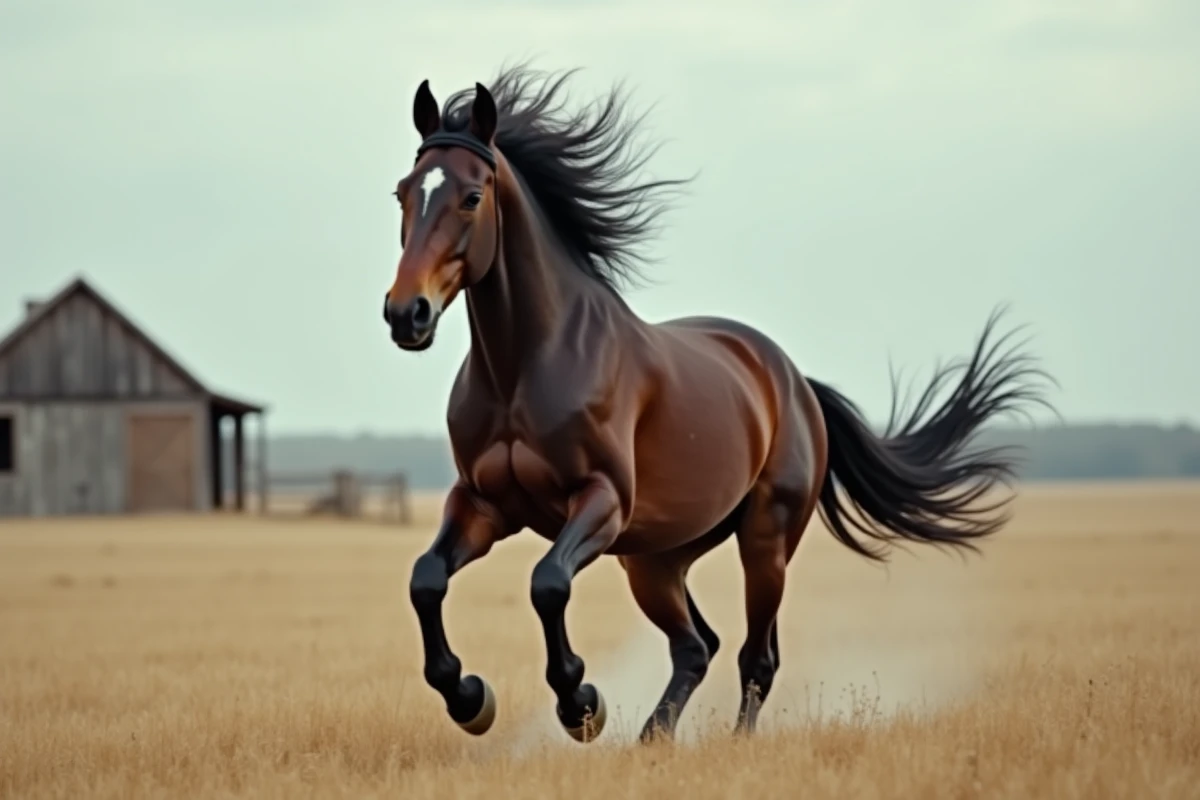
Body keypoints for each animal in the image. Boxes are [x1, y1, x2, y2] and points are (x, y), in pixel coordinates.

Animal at [382, 65, 1053, 744]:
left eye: (471, 196)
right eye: (403, 193)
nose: (406, 314)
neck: (523, 368)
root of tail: (794, 380)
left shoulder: (600, 501)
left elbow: (547, 583)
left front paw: (580, 704)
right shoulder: (483, 503)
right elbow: (424, 579)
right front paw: (469, 698)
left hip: (764, 539)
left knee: (756, 656)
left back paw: (732, 743)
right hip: (655, 559)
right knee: (696, 646)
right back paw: (653, 738)